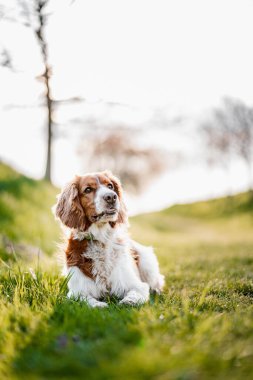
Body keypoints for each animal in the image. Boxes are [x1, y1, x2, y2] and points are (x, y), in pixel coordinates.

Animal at [53, 171, 164, 308]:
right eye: (88, 189)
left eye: (110, 186)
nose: (111, 197)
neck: (101, 238)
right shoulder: (76, 292)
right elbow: (86, 300)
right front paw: (99, 305)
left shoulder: (137, 285)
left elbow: (136, 293)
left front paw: (128, 301)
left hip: (147, 262)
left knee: (157, 281)